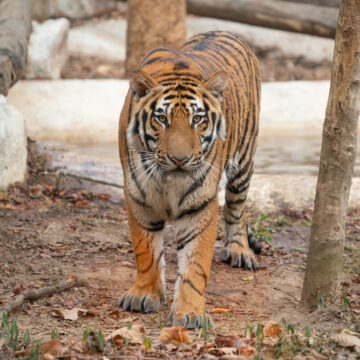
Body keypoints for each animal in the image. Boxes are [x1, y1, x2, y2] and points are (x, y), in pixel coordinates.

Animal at [118, 31, 262, 330]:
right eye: (161, 119)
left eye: (198, 119)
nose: (180, 160)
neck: (167, 181)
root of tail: (228, 31)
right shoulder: (138, 196)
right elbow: (145, 252)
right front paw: (143, 294)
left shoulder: (201, 203)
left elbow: (196, 264)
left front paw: (191, 312)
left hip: (243, 160)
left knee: (237, 207)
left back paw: (240, 250)